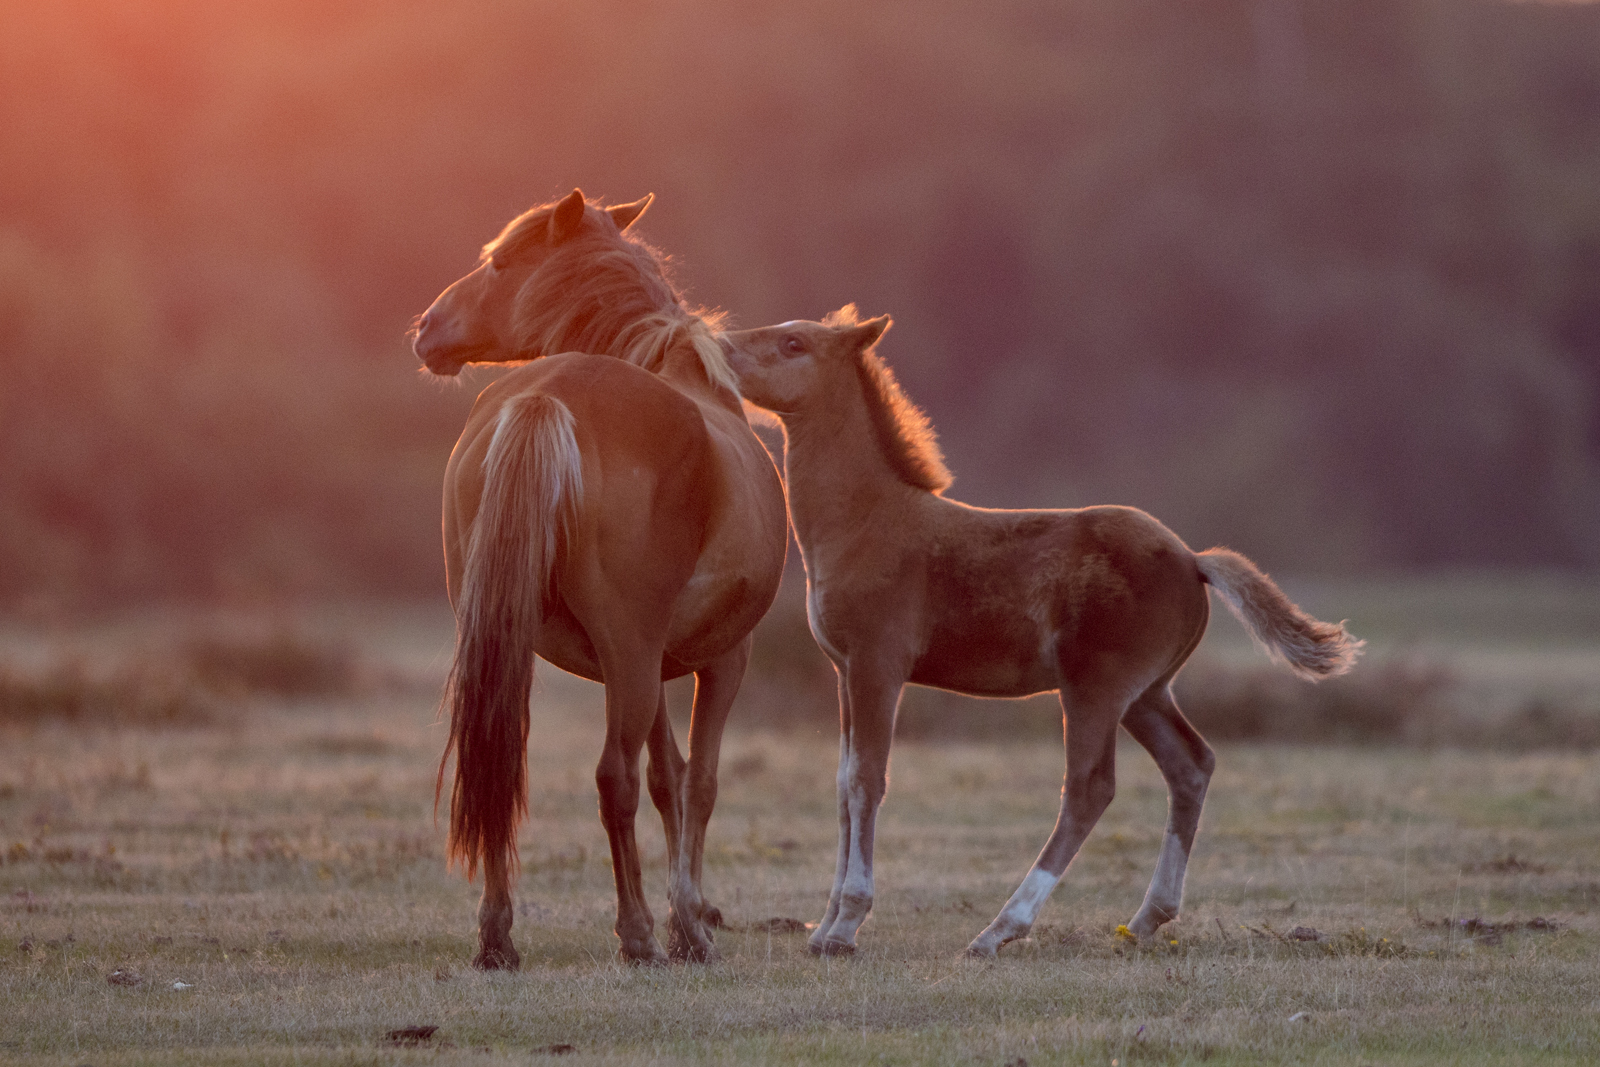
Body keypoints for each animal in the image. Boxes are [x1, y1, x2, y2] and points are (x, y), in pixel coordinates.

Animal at [412, 191, 787, 966]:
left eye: (500, 262)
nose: (427, 327)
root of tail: (547, 397)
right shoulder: (719, 658)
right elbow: (697, 782)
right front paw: (689, 925)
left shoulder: (653, 666)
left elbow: (668, 778)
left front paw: (685, 919)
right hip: (634, 654)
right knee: (612, 778)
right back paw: (637, 933)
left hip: (530, 643)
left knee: (499, 763)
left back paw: (497, 937)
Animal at [726, 307, 1363, 959]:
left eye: (793, 342)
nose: (719, 345)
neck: (868, 521)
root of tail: (1192, 559)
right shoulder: (843, 670)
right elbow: (841, 784)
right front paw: (824, 924)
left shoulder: (878, 665)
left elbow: (865, 780)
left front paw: (845, 925)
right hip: (1145, 693)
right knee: (1191, 766)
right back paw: (1146, 918)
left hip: (1094, 687)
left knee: (1089, 788)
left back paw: (1000, 929)